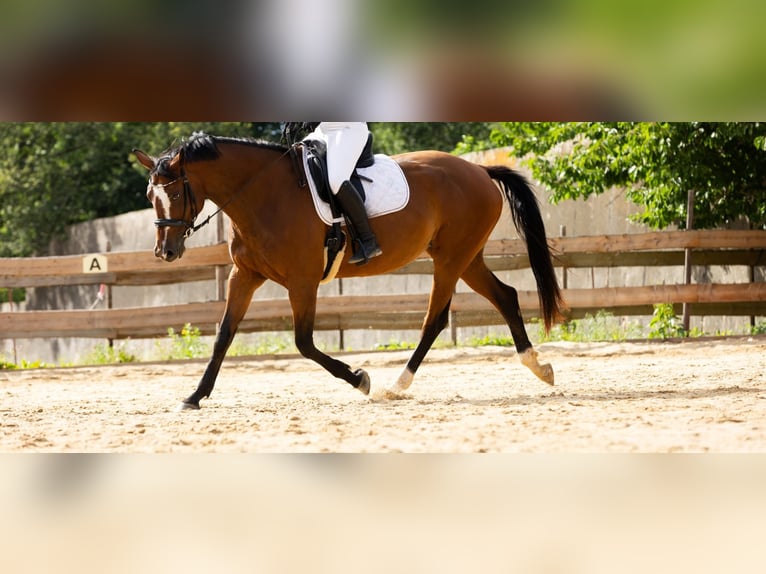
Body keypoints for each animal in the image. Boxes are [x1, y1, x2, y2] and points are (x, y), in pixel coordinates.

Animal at [133, 133, 564, 410]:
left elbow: (304, 343)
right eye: (149, 196)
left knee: (435, 320)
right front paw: (194, 396)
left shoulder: (302, 282)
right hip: (465, 257)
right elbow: (223, 335)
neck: (262, 194)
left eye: (175, 193)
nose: (165, 251)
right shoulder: (244, 275)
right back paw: (539, 367)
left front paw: (360, 379)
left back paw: (396, 385)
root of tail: (480, 172)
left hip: (451, 259)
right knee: (505, 296)